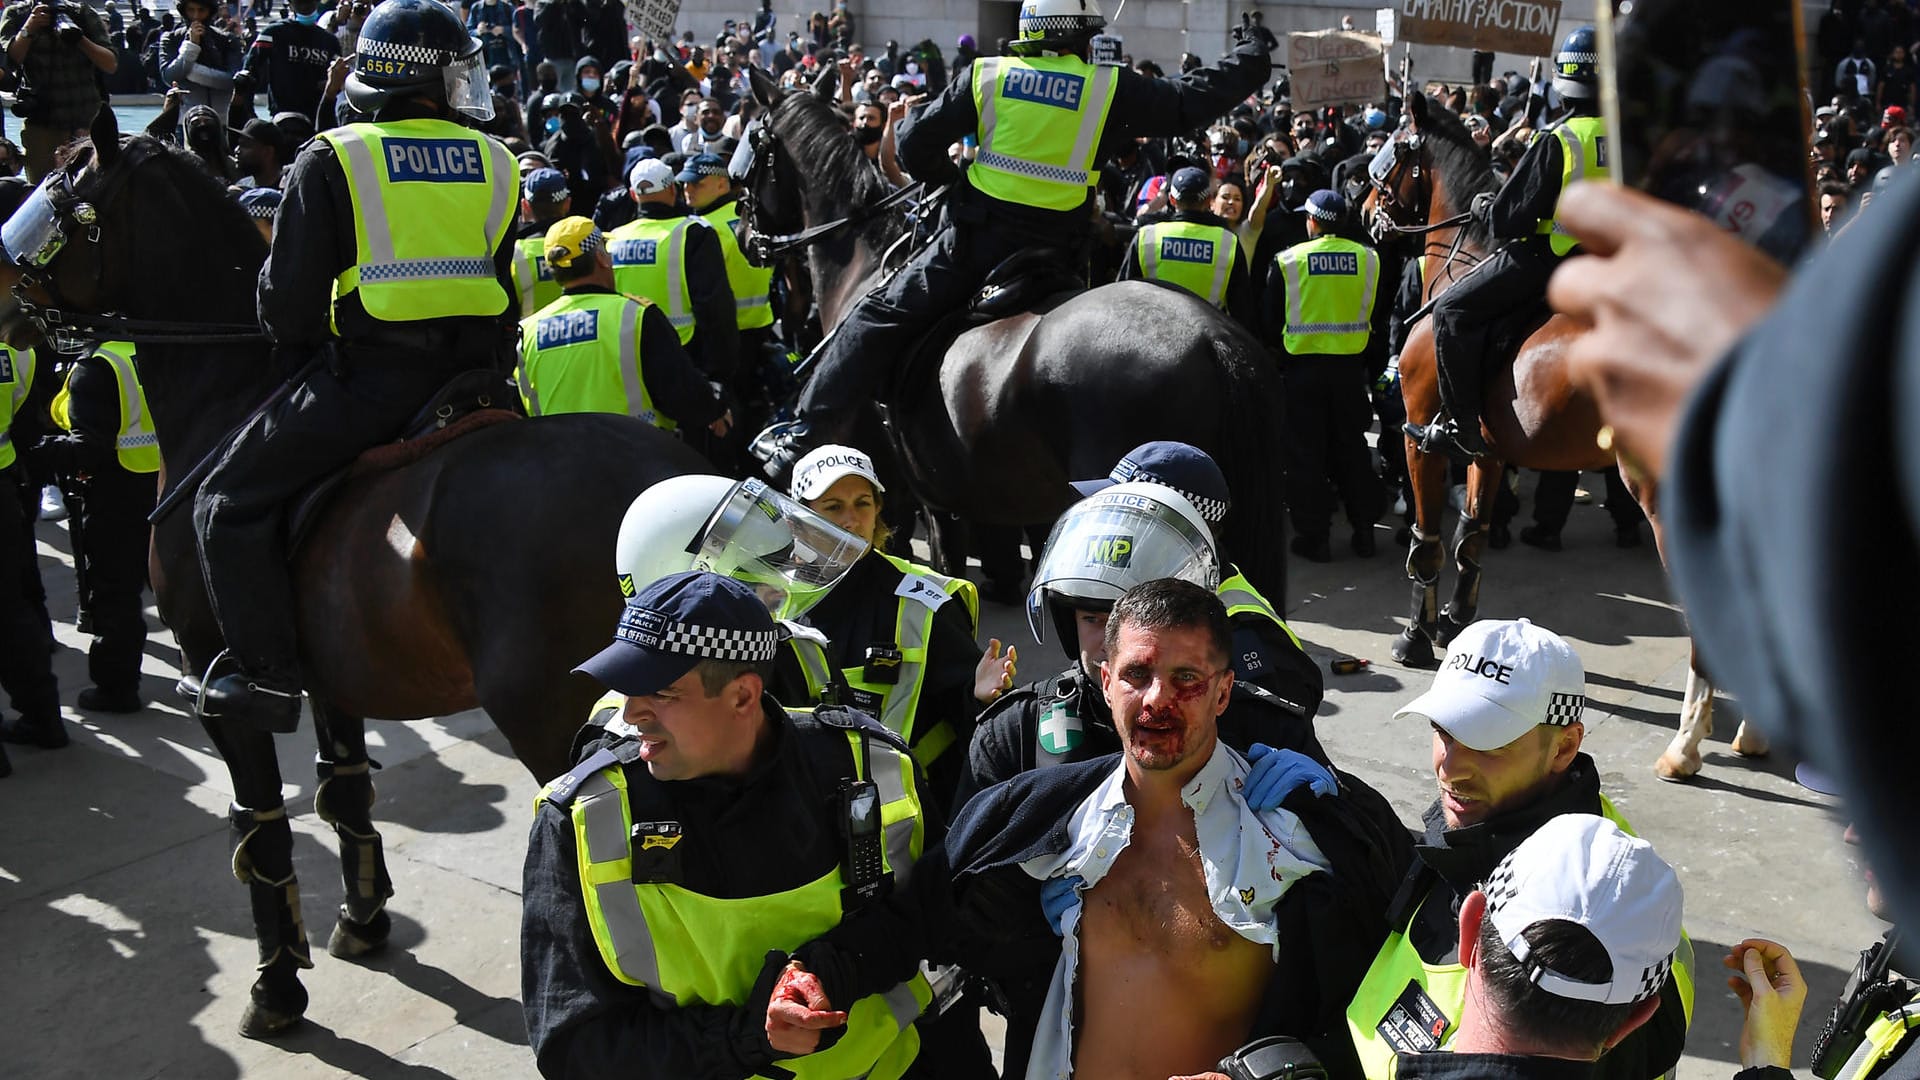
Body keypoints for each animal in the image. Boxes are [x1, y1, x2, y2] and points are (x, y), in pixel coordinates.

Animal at [0, 109, 718, 1037]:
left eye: (52, 198)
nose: (3, 304)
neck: (230, 395)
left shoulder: (218, 680)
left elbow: (261, 824)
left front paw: (276, 987)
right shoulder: (327, 668)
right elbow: (344, 794)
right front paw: (364, 918)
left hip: (561, 716)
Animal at [1359, 90, 1758, 772]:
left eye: (1388, 156)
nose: (1365, 211)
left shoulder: (1419, 434)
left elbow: (1428, 540)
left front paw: (1415, 636)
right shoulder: (1487, 450)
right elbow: (1472, 538)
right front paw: (1457, 623)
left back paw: (1686, 745)